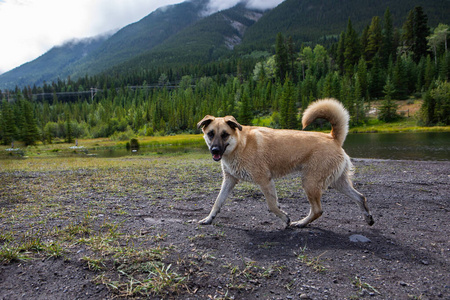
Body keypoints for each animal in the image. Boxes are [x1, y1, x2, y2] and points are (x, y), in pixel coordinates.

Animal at [197, 98, 372, 227]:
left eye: (224, 134)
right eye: (211, 133)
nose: (215, 150)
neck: (240, 145)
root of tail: (332, 137)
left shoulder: (265, 180)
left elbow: (272, 205)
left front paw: (285, 218)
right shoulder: (230, 180)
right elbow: (218, 202)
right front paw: (209, 219)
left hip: (310, 182)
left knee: (318, 210)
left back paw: (300, 223)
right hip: (337, 182)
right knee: (360, 197)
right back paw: (368, 217)